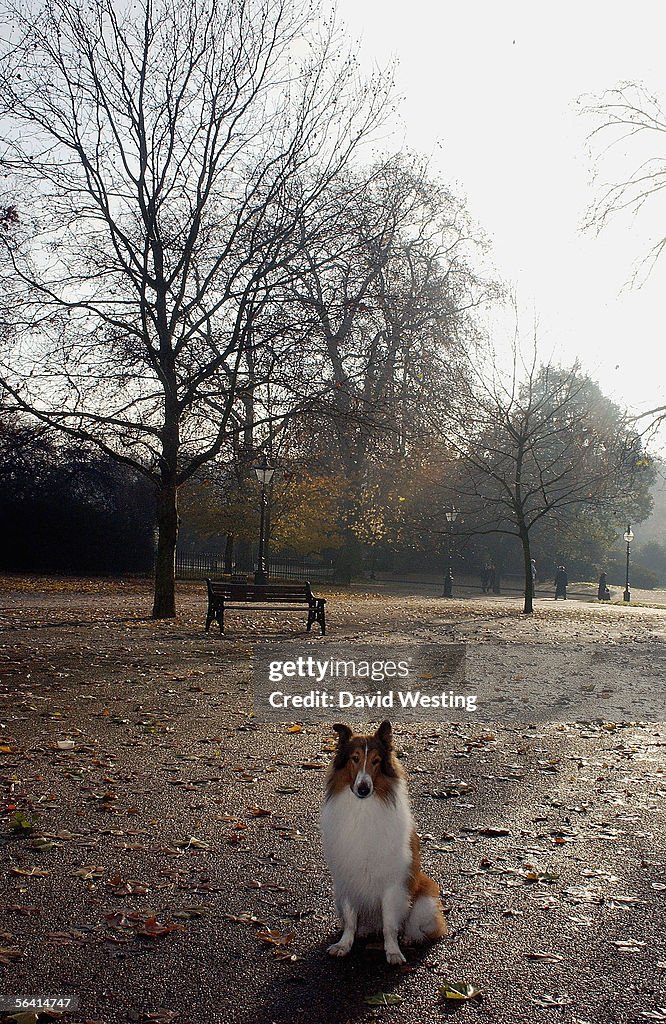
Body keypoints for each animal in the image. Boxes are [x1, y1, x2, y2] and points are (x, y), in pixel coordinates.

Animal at [317, 716, 442, 962]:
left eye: (376, 761)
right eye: (355, 758)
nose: (363, 789)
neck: (363, 809)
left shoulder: (392, 884)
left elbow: (389, 925)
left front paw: (392, 951)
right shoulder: (348, 878)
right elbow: (350, 919)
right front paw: (344, 945)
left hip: (424, 900)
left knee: (412, 925)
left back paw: (409, 937)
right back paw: (364, 930)